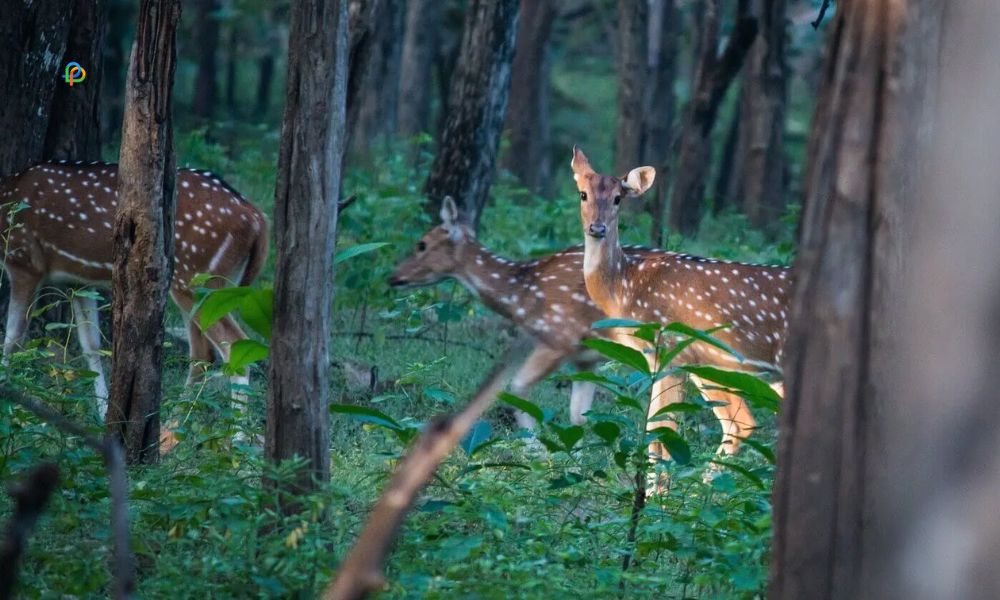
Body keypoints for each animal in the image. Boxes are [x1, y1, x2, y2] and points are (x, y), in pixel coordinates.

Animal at [0, 158, 270, 418]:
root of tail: (256, 219)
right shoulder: (77, 280)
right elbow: (91, 345)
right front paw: (103, 413)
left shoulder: (23, 261)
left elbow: (12, 337)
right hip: (217, 283)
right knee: (203, 353)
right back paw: (173, 423)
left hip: (195, 276)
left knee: (232, 345)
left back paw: (233, 431)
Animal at [390, 197, 664, 426]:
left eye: (422, 245)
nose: (393, 277)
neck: (520, 294)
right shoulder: (584, 357)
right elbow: (579, 416)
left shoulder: (557, 338)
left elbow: (517, 391)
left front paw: (536, 452)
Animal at [572, 148, 788, 466]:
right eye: (583, 194)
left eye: (617, 198)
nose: (597, 228)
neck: (625, 288)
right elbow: (656, 426)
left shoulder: (669, 347)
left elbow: (661, 429)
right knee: (740, 422)